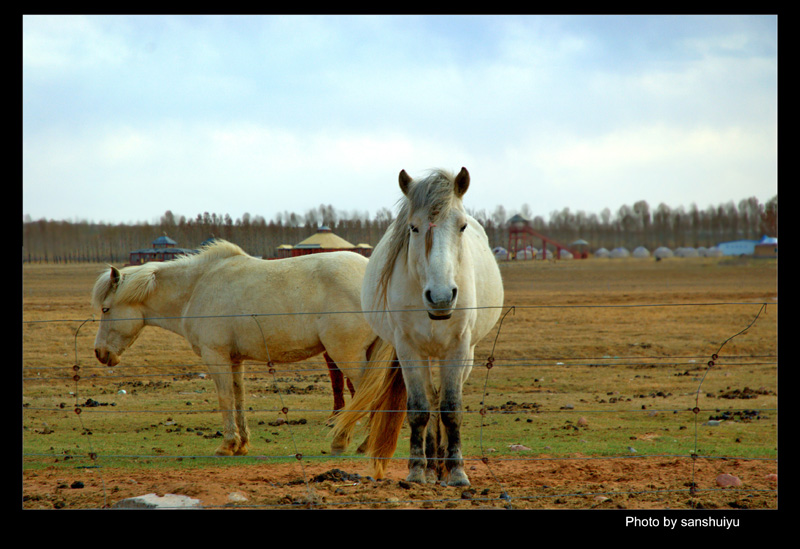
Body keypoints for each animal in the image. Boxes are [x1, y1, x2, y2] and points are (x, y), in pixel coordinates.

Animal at [92, 240, 380, 454]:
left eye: (106, 309)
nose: (99, 352)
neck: (196, 288)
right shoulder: (235, 360)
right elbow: (239, 399)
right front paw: (241, 444)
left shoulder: (216, 356)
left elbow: (225, 398)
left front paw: (227, 445)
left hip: (348, 356)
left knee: (368, 394)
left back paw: (350, 442)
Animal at [332, 167, 500, 484]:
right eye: (413, 228)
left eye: (461, 227)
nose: (441, 297)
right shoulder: (408, 349)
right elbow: (420, 409)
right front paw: (418, 470)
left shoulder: (458, 348)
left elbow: (451, 409)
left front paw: (457, 472)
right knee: (431, 401)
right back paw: (434, 466)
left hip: (464, 355)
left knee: (442, 399)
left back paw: (443, 466)